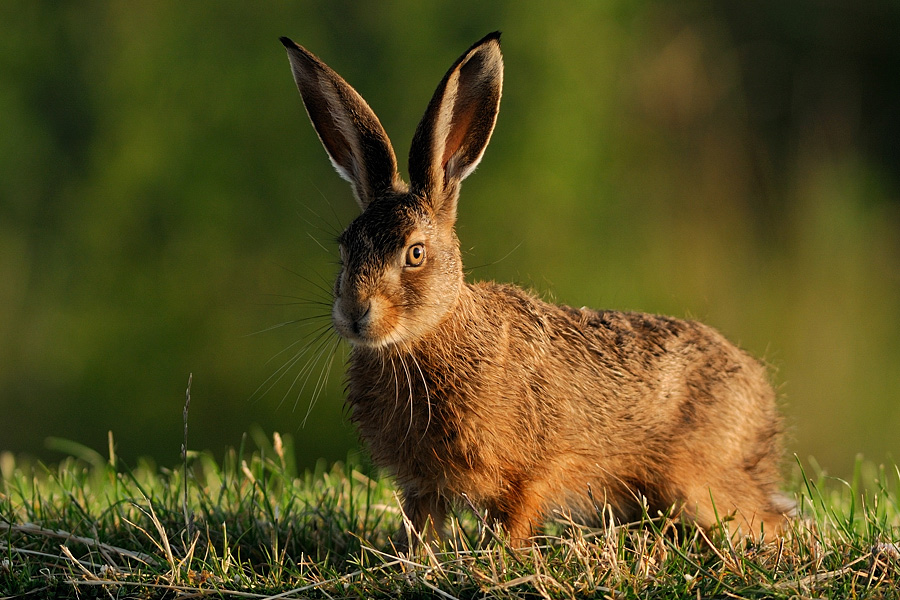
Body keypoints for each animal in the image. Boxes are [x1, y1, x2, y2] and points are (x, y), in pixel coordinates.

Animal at [279, 31, 793, 545]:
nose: (355, 313)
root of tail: (762, 396)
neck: (428, 337)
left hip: (698, 485)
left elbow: (512, 522)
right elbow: (422, 530)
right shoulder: (422, 486)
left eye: (415, 254)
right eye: (345, 249)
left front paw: (500, 556)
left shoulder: (529, 476)